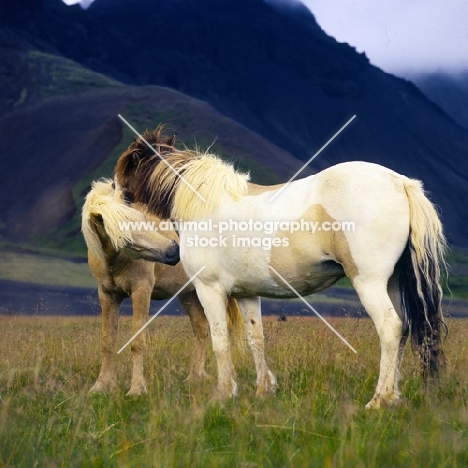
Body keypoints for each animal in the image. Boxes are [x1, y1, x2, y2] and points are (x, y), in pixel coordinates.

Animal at [82, 177, 245, 396]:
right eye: (124, 238)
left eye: (142, 218)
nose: (173, 251)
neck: (114, 261)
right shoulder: (107, 295)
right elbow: (107, 342)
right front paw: (100, 386)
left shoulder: (141, 291)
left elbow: (138, 342)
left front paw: (137, 388)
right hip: (189, 294)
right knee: (201, 329)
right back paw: (195, 377)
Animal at [115, 130, 448, 408]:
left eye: (125, 170)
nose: (116, 201)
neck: (203, 204)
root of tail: (400, 182)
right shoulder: (246, 294)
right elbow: (256, 339)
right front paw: (264, 389)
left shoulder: (210, 290)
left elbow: (220, 341)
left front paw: (223, 393)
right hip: (391, 282)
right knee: (404, 329)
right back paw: (392, 397)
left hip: (369, 282)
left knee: (390, 328)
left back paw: (378, 400)